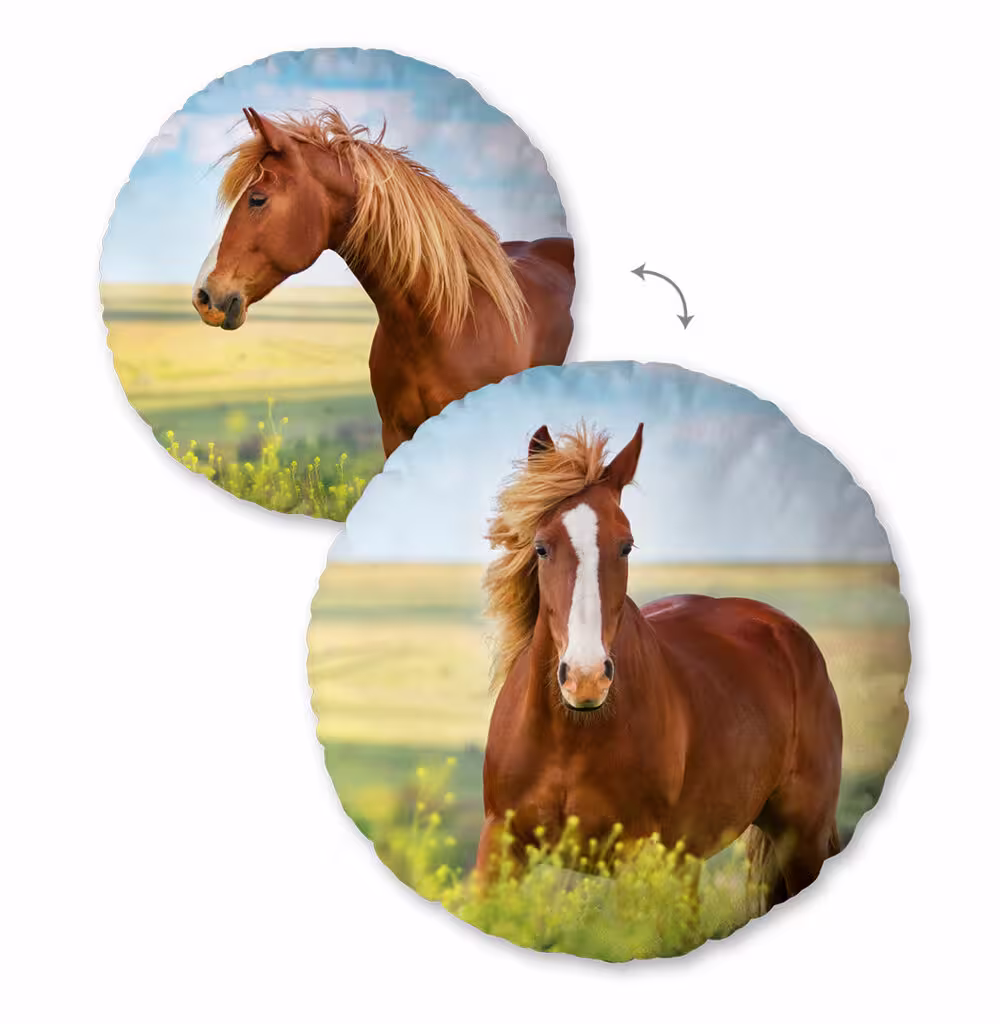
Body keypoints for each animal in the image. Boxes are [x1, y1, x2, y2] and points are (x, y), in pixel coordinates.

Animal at [478, 423, 843, 912]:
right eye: (540, 548)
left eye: (626, 546)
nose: (586, 678)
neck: (570, 736)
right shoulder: (499, 843)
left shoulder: (637, 857)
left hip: (801, 839)